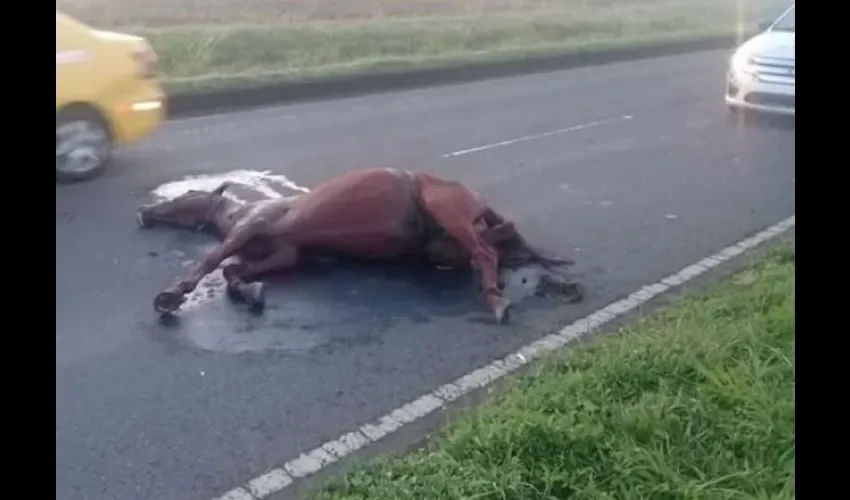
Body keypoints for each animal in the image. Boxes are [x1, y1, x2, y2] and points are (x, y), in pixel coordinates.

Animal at [137, 168, 576, 324]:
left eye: (188, 193)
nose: (144, 212)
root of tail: (476, 198)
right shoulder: (286, 253)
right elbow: (234, 272)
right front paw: (254, 292)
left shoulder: (251, 225)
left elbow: (213, 261)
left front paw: (171, 297)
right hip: (442, 247)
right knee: (504, 246)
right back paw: (559, 282)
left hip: (444, 209)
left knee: (488, 253)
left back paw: (499, 300)